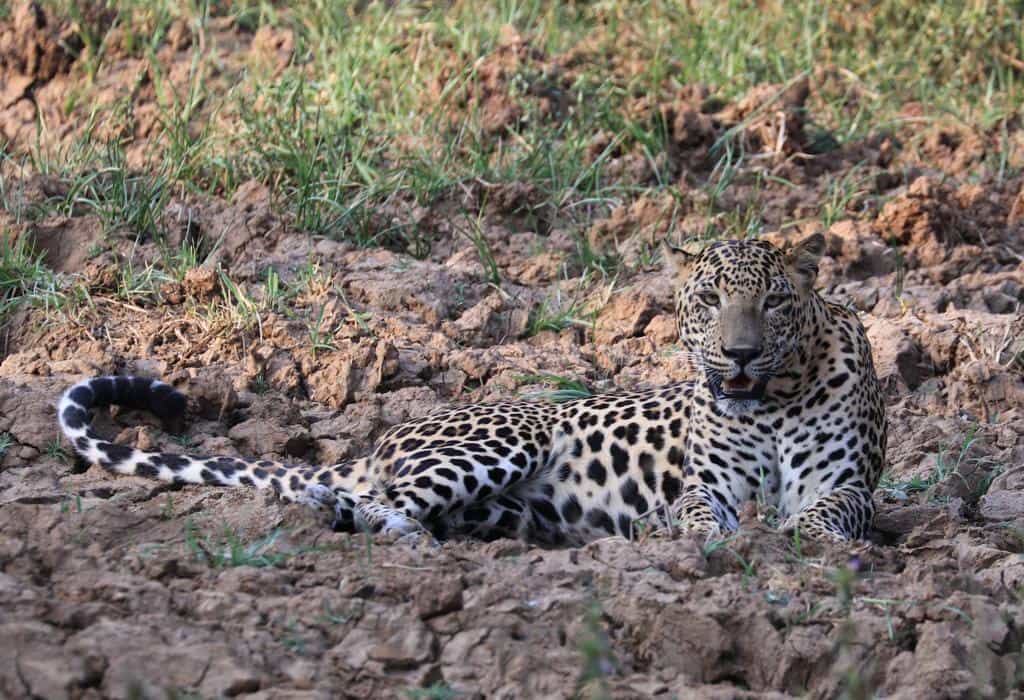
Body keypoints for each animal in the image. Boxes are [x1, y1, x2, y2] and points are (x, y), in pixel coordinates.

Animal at [58, 232, 888, 544]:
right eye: (711, 299)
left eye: (775, 302)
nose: (741, 356)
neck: (772, 403)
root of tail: (383, 437)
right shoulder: (710, 484)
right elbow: (698, 514)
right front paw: (708, 543)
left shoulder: (850, 486)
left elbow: (828, 514)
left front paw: (794, 543)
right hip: (511, 436)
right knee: (376, 502)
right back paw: (386, 530)